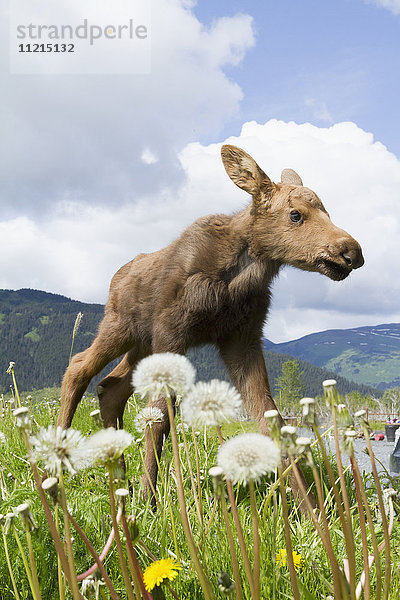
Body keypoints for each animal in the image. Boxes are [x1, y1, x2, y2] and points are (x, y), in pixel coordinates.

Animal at [57, 145, 364, 502]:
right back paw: (59, 465)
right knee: (79, 366)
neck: (238, 276)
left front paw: (310, 506)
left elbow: (270, 419)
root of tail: (115, 277)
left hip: (143, 344)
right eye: (296, 215)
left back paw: (121, 480)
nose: (352, 252)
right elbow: (160, 418)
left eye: (327, 211)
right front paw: (150, 500)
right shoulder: (173, 331)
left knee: (110, 387)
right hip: (120, 327)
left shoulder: (242, 338)